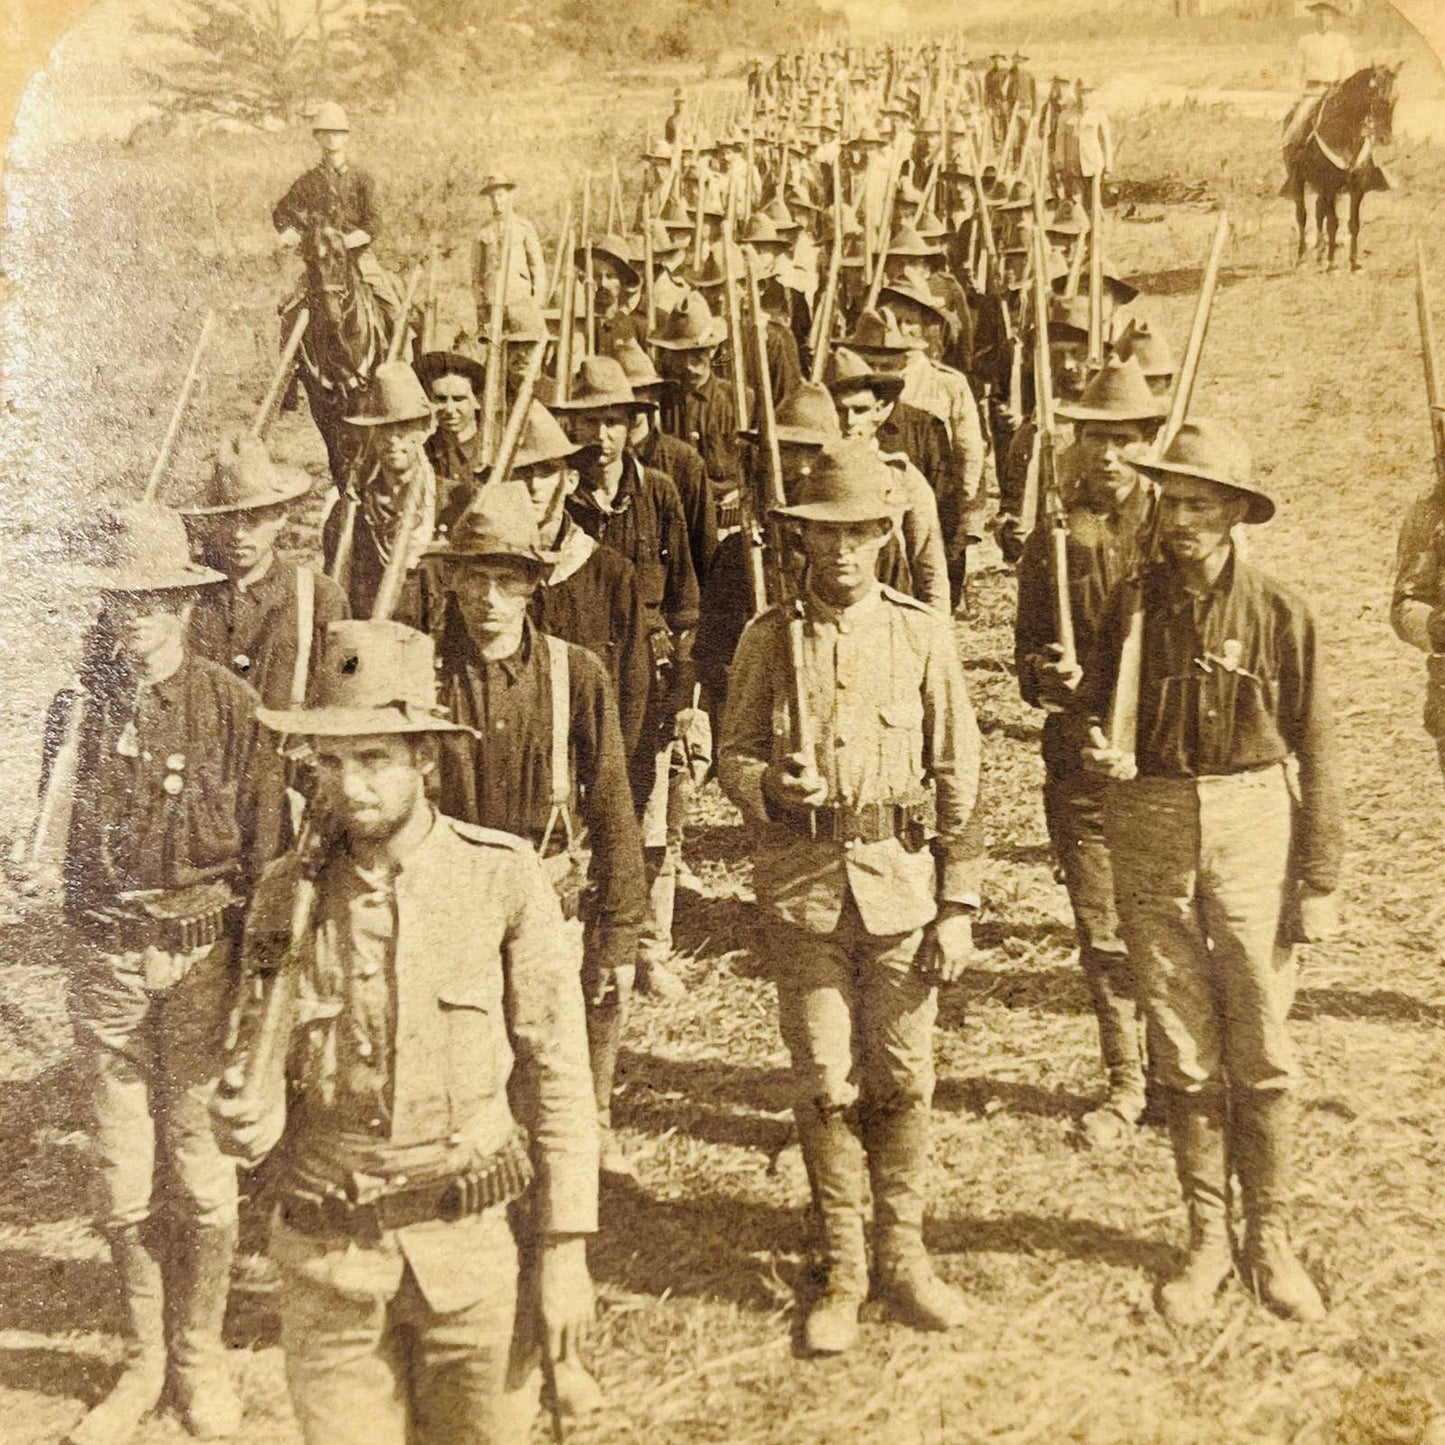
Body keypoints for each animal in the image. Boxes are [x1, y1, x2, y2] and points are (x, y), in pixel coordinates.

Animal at [1288, 62, 1398, 271]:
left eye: (1395, 98)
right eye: (1374, 98)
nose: (1385, 138)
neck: (1343, 133)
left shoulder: (1356, 187)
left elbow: (1353, 223)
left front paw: (1353, 263)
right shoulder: (1330, 186)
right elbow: (1333, 223)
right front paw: (1331, 263)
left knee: (1318, 211)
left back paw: (1319, 253)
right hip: (1298, 179)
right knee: (1302, 215)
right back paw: (1301, 257)